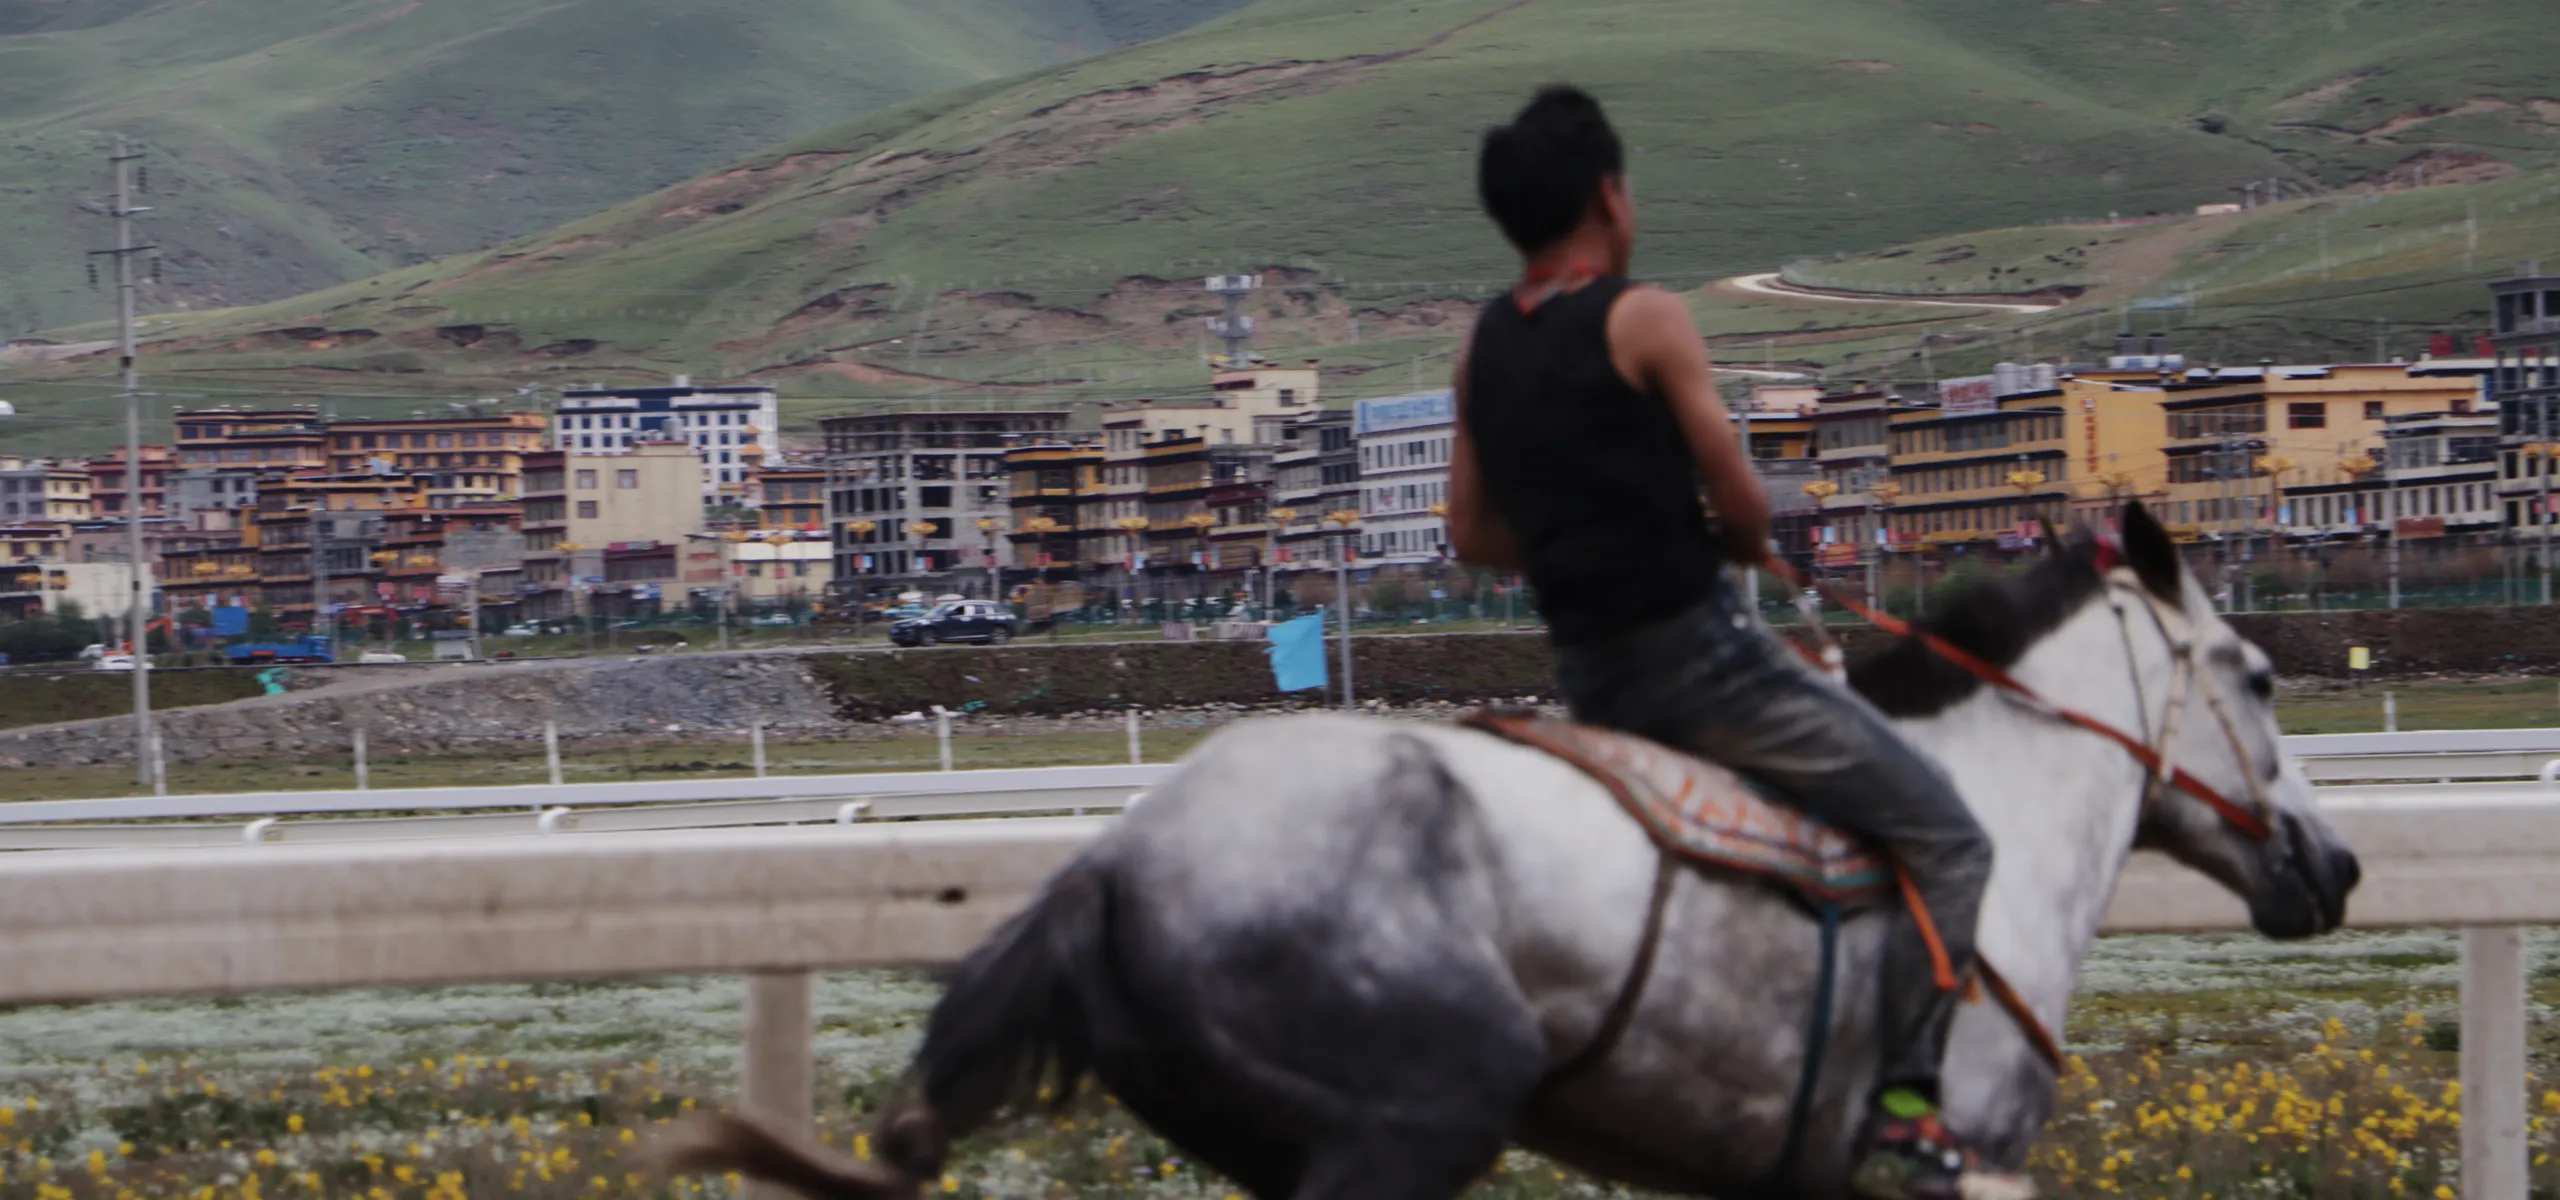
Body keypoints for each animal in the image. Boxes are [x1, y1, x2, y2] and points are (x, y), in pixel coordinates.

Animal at [665, 504, 2355, 1197]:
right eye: (2263, 677)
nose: (2332, 866)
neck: (1996, 811)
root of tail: (1114, 866)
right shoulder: (1960, 1161)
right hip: (1415, 1120)